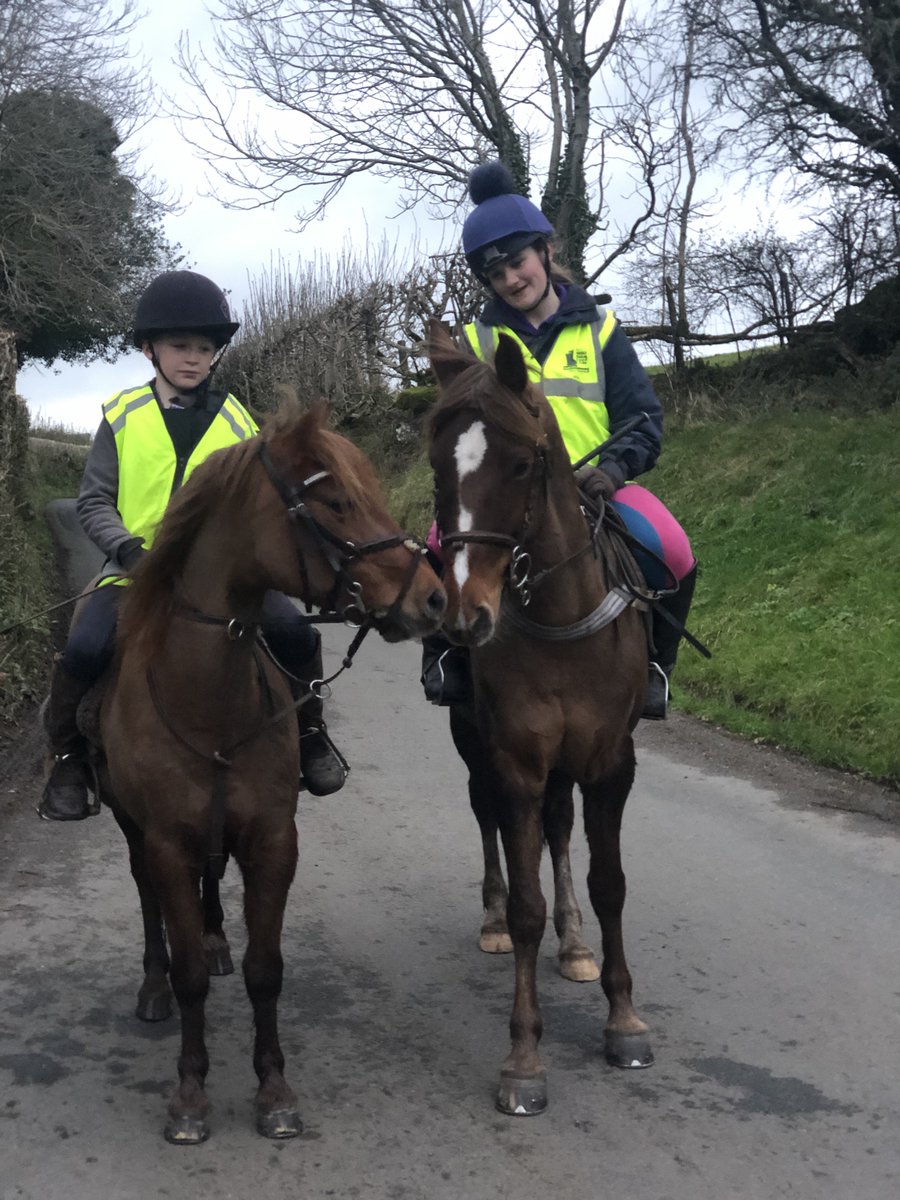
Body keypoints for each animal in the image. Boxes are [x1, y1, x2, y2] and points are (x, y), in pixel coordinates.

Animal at [86, 400, 446, 1144]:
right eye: (335, 501)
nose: (431, 599)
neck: (208, 699)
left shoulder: (273, 839)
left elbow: (265, 970)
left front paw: (274, 1088)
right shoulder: (166, 842)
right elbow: (190, 972)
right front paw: (190, 1094)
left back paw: (216, 936)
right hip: (133, 830)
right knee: (150, 905)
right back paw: (153, 986)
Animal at [427, 320, 653, 1115]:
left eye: (523, 464)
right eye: (438, 467)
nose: (465, 615)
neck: (560, 619)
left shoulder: (612, 761)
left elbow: (610, 883)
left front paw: (623, 1018)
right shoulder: (517, 759)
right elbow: (525, 900)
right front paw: (524, 1058)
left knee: (559, 829)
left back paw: (576, 941)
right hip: (475, 745)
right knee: (486, 816)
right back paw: (494, 920)